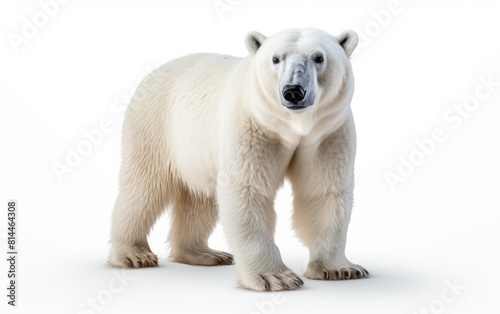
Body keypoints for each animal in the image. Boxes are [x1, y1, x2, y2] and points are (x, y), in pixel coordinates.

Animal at [108, 28, 368, 290]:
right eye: (276, 59)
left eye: (319, 57)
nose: (293, 91)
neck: (292, 125)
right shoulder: (251, 125)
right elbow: (248, 189)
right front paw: (275, 277)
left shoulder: (326, 133)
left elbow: (324, 191)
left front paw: (341, 269)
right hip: (155, 126)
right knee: (144, 188)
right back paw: (133, 254)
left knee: (199, 198)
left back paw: (204, 253)